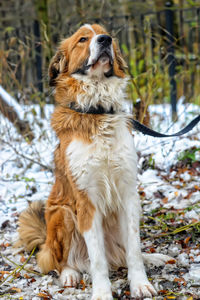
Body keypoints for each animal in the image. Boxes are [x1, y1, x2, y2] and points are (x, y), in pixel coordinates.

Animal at [16, 24, 172, 298]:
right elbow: (97, 260)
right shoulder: (86, 201)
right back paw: (69, 274)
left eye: (105, 33)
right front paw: (101, 292)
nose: (105, 40)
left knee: (121, 255)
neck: (98, 112)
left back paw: (153, 258)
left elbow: (133, 249)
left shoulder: (128, 195)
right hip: (63, 213)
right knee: (60, 260)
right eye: (82, 39)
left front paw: (140, 283)